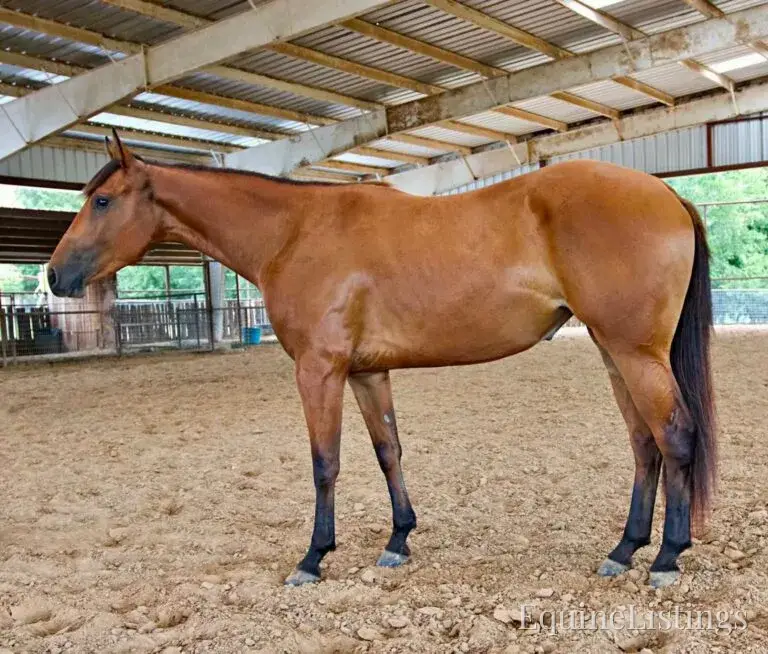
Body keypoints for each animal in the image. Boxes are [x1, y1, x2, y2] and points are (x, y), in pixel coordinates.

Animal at [48, 131, 716, 588]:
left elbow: (325, 463)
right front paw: (398, 540)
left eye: (102, 201)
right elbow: (387, 450)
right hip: (614, 351)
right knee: (644, 443)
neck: (294, 231)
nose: (54, 276)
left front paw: (313, 557)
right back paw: (624, 549)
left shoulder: (318, 370)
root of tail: (667, 193)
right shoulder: (367, 373)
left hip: (634, 353)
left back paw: (666, 556)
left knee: (675, 436)